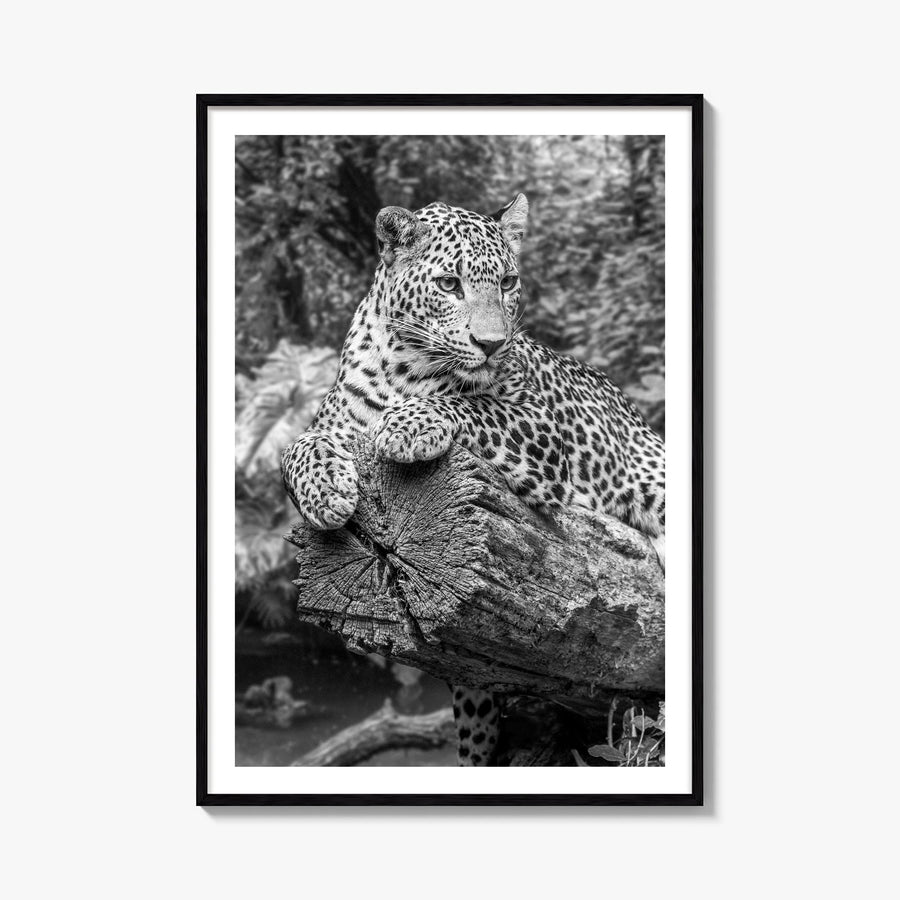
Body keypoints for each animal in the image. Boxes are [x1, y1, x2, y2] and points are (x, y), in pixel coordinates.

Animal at [281, 194, 665, 766]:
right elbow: (296, 447)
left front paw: (406, 426)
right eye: (449, 284)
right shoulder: (330, 424)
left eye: (507, 282)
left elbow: (471, 405)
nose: (491, 343)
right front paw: (326, 491)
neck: (405, 368)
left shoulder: (537, 425)